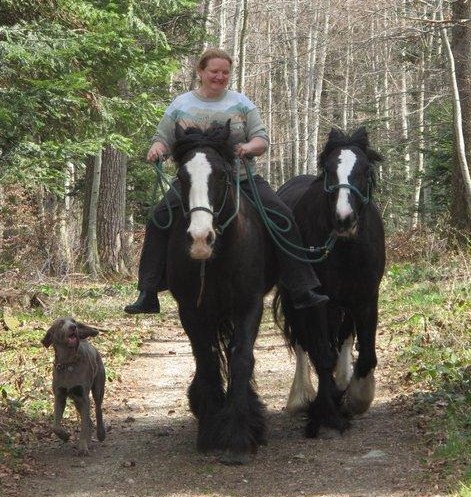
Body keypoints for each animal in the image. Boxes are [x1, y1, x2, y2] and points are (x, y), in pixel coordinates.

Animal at [42, 318, 106, 454]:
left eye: (74, 321)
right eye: (61, 323)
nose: (73, 327)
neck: (68, 363)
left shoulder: (83, 397)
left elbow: (84, 425)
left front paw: (82, 447)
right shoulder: (60, 396)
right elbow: (55, 426)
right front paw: (65, 436)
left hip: (98, 388)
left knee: (98, 410)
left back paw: (100, 434)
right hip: (76, 400)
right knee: (89, 421)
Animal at [166, 121, 278, 464]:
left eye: (220, 175)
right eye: (181, 177)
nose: (201, 239)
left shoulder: (249, 306)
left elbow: (241, 358)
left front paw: (239, 435)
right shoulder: (191, 311)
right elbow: (207, 359)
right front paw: (209, 430)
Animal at [278, 127, 386, 430]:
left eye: (364, 169)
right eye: (328, 169)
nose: (344, 219)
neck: (345, 248)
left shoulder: (366, 299)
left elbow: (366, 354)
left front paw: (355, 397)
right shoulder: (320, 303)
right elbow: (321, 354)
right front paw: (325, 409)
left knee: (344, 338)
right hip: (296, 301)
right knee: (302, 342)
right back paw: (301, 396)